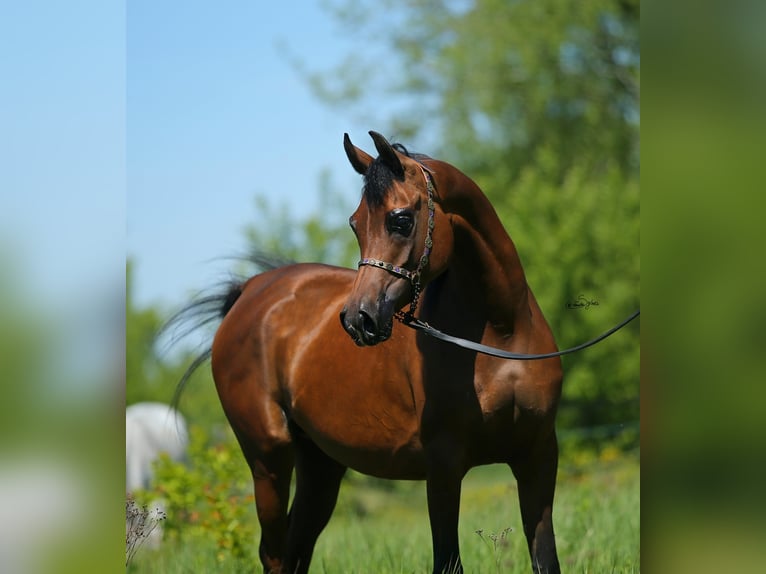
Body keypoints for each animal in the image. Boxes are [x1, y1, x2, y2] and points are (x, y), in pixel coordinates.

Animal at [195, 133, 564, 572]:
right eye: (355, 224)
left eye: (400, 219)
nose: (359, 319)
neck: (501, 337)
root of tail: (250, 292)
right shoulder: (444, 467)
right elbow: (447, 560)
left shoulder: (539, 457)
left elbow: (545, 556)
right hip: (268, 459)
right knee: (275, 553)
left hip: (320, 466)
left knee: (298, 545)